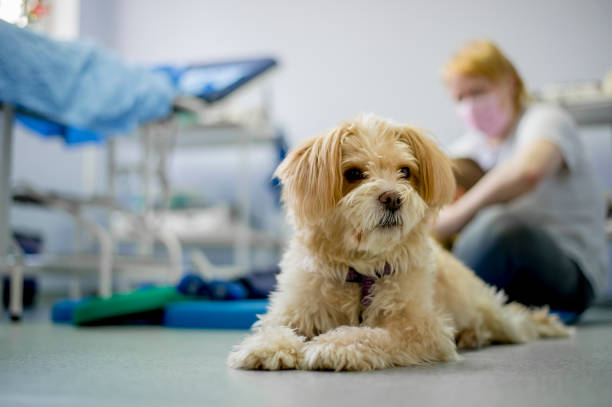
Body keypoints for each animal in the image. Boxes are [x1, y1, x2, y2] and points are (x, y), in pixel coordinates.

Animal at [227, 113, 572, 372]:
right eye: (354, 173)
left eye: (405, 171)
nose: (392, 197)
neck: (361, 270)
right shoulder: (294, 311)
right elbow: (274, 328)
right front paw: (267, 347)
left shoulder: (419, 327)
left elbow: (371, 335)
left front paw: (333, 346)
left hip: (490, 310)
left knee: (519, 319)